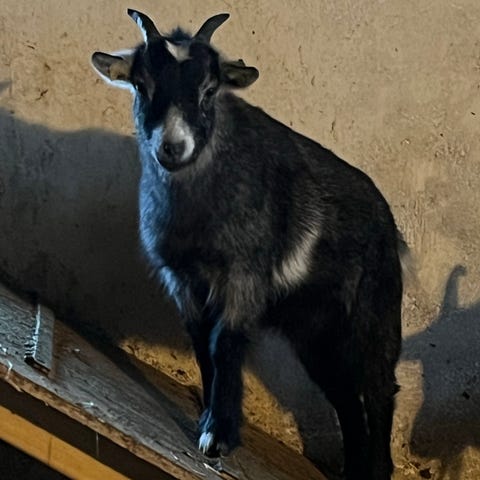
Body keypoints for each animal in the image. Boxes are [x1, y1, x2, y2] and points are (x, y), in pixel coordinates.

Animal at [92, 10, 406, 480]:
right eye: (141, 85)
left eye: (209, 89)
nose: (173, 147)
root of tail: (389, 223)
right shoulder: (183, 280)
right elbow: (201, 343)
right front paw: (207, 417)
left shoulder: (245, 275)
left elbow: (225, 343)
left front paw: (219, 436)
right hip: (314, 330)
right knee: (346, 398)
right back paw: (353, 469)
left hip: (374, 315)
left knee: (379, 386)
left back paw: (379, 468)